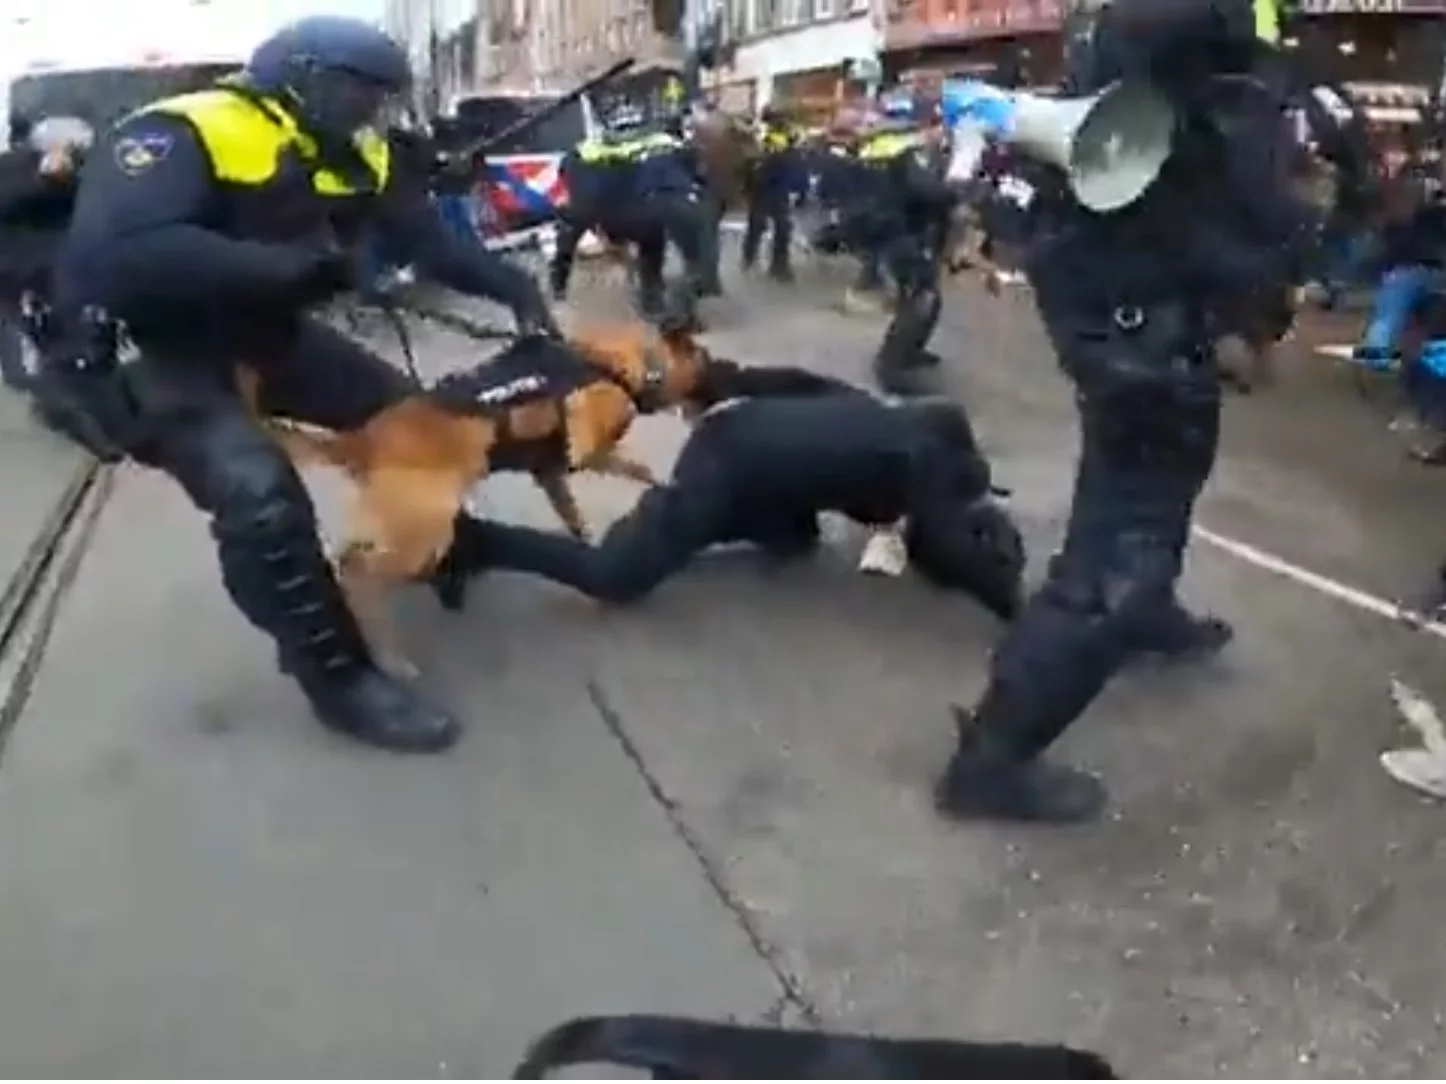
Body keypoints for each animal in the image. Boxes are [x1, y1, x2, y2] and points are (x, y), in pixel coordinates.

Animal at [245, 322, 714, 676]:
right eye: (705, 363)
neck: (606, 360)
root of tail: (362, 441)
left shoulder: (550, 473)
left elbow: (591, 498)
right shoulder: (583, 448)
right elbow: (623, 459)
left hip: (403, 526)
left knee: (347, 557)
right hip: (424, 532)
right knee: (360, 573)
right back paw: (386, 653)